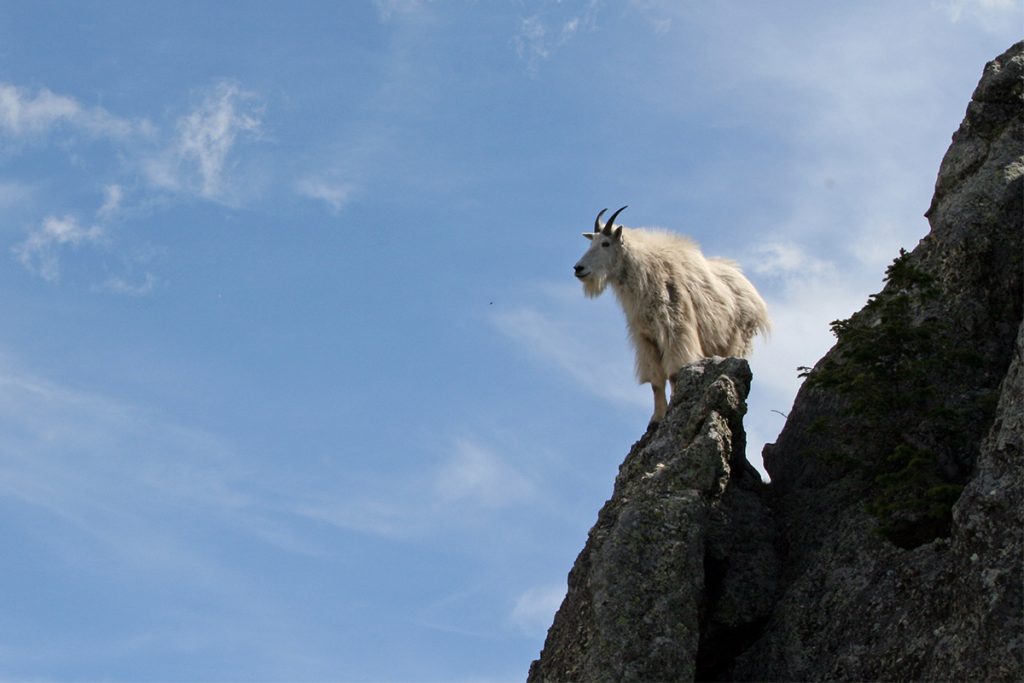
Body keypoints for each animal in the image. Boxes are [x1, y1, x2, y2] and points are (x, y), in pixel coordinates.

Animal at [573, 205, 770, 423]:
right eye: (592, 242)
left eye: (606, 243)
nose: (579, 268)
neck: (644, 274)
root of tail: (756, 296)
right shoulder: (646, 338)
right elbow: (656, 381)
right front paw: (656, 419)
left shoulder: (675, 330)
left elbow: (675, 373)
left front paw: (673, 409)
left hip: (739, 339)